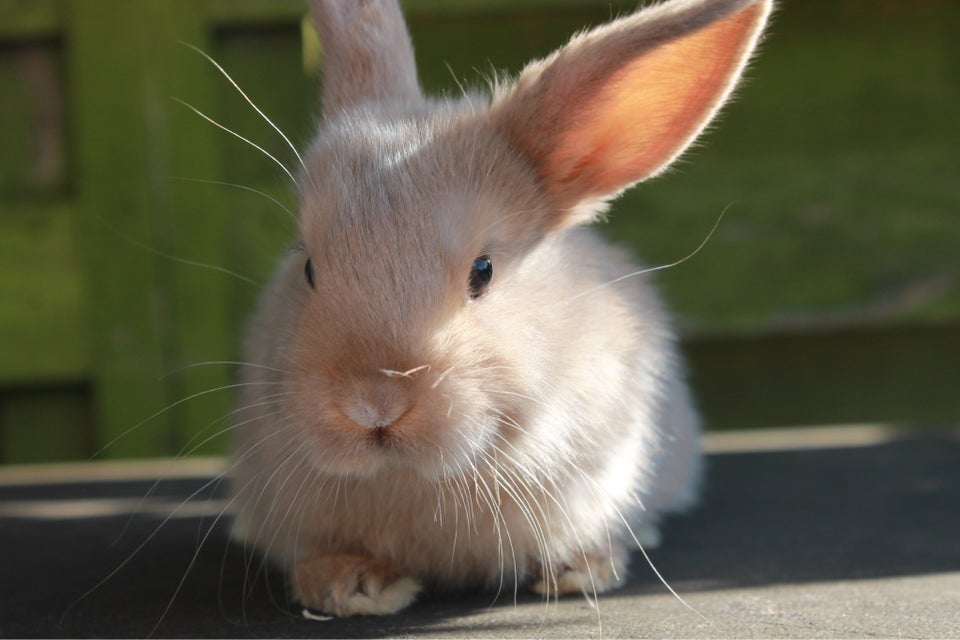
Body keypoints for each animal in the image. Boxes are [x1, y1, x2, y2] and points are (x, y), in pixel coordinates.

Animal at [231, 0, 772, 616]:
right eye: (308, 268)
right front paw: (350, 586)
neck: (421, 480)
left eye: (483, 271)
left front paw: (578, 570)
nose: (372, 404)